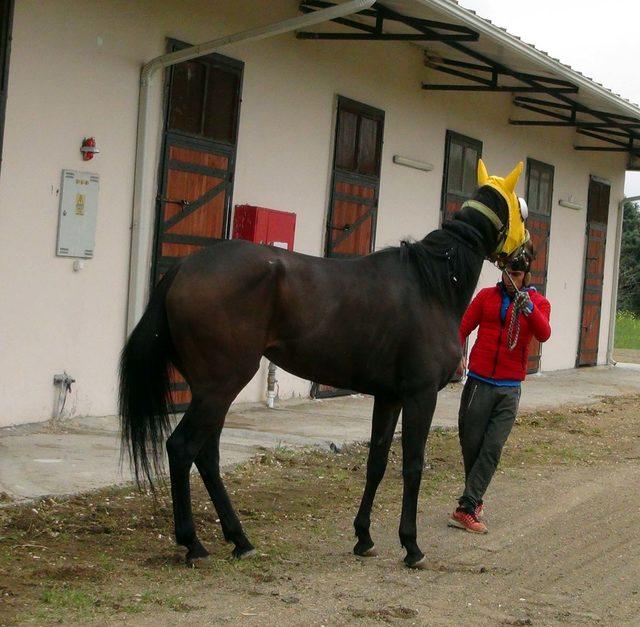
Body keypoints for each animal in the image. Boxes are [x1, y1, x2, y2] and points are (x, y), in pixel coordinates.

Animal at [119, 162, 524, 568]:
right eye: (522, 208)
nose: (527, 257)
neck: (431, 286)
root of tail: (184, 268)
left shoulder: (389, 397)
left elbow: (377, 461)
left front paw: (364, 537)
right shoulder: (420, 395)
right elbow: (412, 465)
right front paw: (411, 546)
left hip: (210, 391)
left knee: (207, 455)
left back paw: (240, 539)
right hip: (220, 387)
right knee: (182, 448)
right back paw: (194, 544)